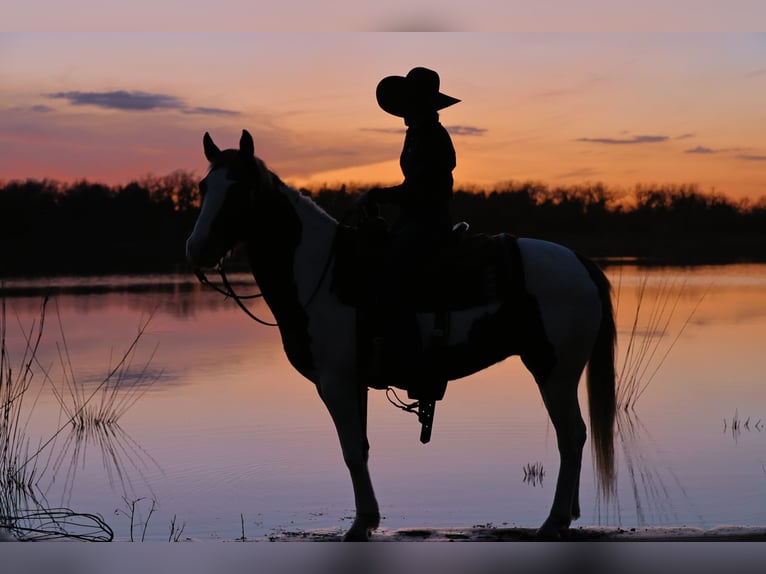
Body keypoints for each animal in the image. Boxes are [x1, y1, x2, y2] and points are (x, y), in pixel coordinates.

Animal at [185, 129, 617, 541]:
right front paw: (368, 519)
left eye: (239, 188)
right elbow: (360, 448)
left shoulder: (335, 381)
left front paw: (360, 525)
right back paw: (565, 517)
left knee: (570, 436)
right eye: (205, 187)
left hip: (553, 371)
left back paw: (553, 522)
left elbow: (351, 451)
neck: (324, 274)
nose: (197, 249)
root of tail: (580, 262)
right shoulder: (353, 382)